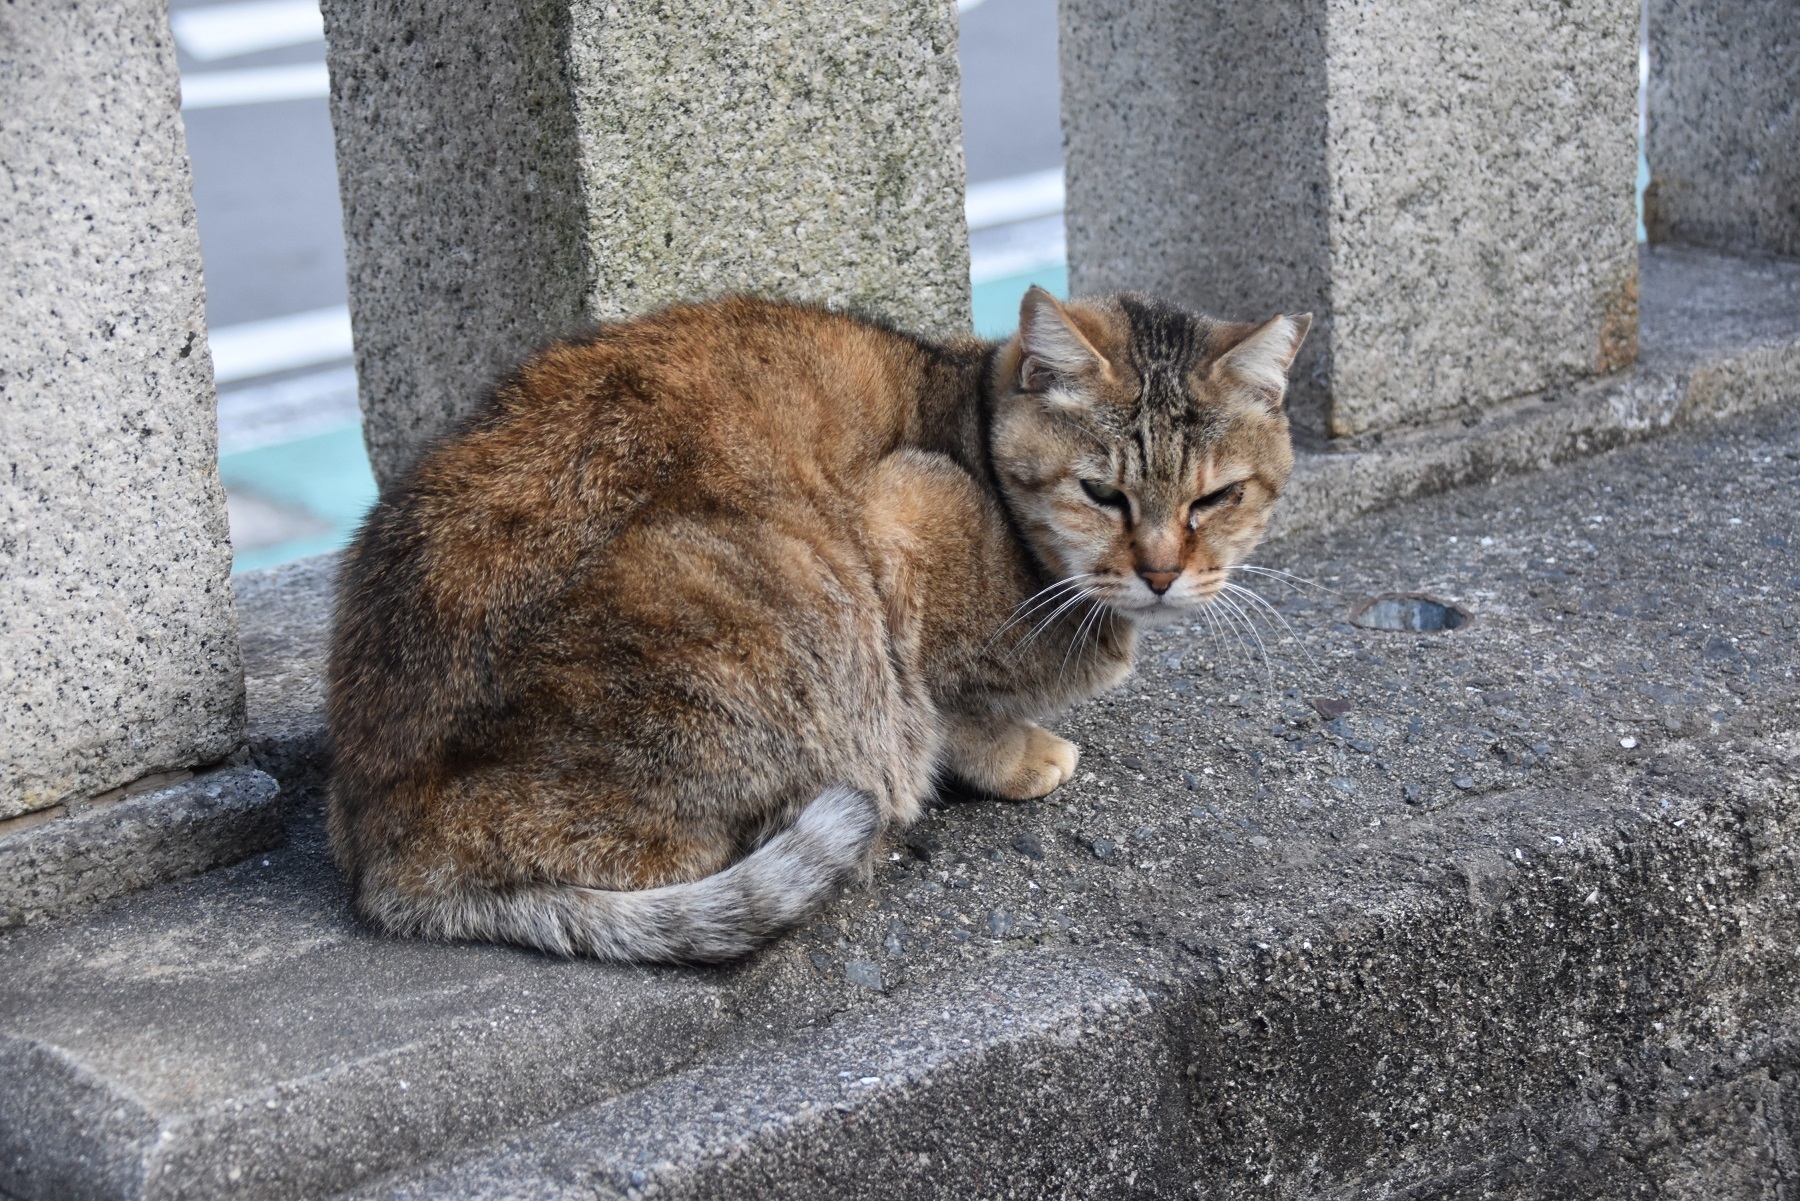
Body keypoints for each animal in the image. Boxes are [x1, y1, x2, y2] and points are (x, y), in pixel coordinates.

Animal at [324, 286, 1310, 965]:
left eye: (1215, 499)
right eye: (1102, 493)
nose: (1161, 571)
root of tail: (384, 844)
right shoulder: (904, 520)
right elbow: (953, 710)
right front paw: (1020, 754)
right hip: (772, 603)